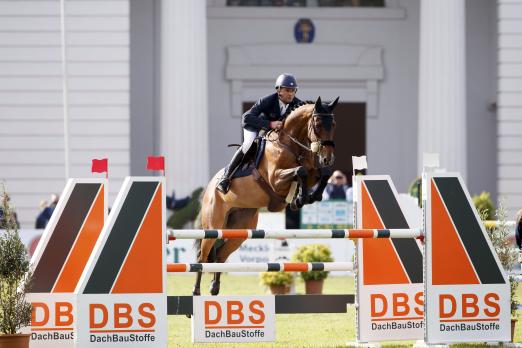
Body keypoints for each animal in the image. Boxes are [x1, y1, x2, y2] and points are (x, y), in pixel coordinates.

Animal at [191, 96, 338, 296]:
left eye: (334, 125)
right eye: (317, 124)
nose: (327, 158)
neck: (290, 144)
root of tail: (209, 187)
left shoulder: (312, 171)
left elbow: (322, 173)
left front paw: (307, 197)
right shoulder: (276, 179)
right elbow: (300, 171)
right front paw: (300, 198)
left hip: (240, 229)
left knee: (220, 255)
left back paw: (214, 288)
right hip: (213, 225)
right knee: (202, 256)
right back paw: (196, 291)